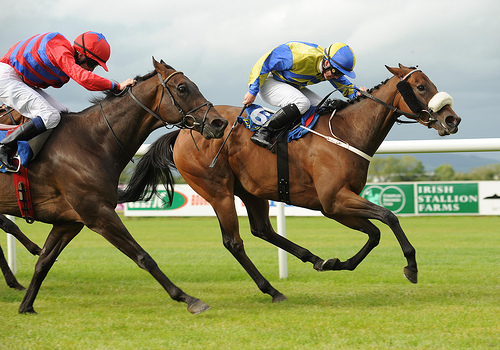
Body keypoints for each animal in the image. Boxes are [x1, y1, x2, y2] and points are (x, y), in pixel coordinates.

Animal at [0, 57, 227, 314]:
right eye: (182, 88)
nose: (219, 123)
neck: (90, 142)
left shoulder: (69, 222)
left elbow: (44, 262)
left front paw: (26, 306)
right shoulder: (99, 214)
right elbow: (143, 257)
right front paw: (188, 299)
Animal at [120, 65, 460, 304]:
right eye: (420, 86)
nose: (452, 120)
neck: (346, 132)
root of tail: (183, 130)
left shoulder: (337, 204)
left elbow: (374, 233)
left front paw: (338, 263)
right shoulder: (333, 201)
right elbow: (389, 217)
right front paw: (411, 266)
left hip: (251, 190)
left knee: (263, 230)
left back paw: (314, 260)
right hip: (217, 190)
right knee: (234, 242)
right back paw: (271, 289)